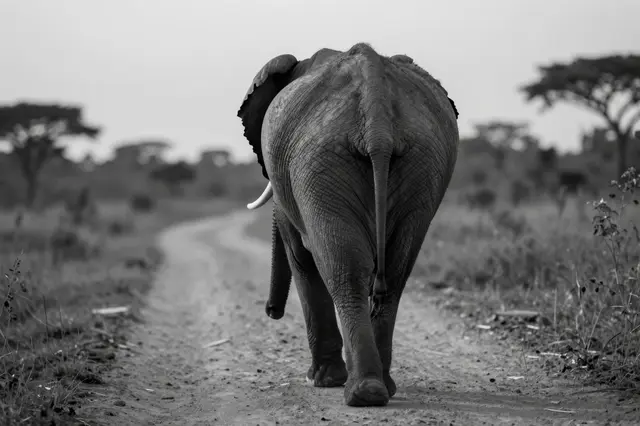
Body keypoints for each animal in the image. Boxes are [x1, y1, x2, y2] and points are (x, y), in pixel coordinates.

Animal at [237, 42, 459, 407]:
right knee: (395, 272)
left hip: (318, 162)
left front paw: (320, 381)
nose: (271, 311)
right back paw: (380, 387)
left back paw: (358, 391)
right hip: (423, 162)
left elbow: (301, 257)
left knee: (345, 270)